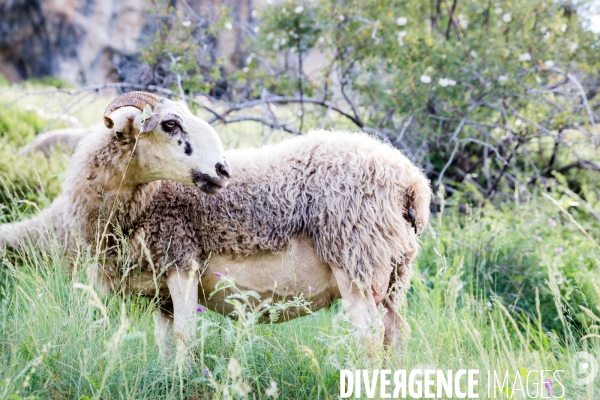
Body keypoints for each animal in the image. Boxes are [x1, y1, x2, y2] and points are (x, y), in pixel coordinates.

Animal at [1, 91, 432, 356]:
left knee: (369, 338)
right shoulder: (160, 290)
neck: (146, 200)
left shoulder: (181, 260)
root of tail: (411, 180)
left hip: (357, 259)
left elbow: (186, 338)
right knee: (397, 334)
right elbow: (166, 344)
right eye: (169, 125)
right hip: (394, 271)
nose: (223, 170)